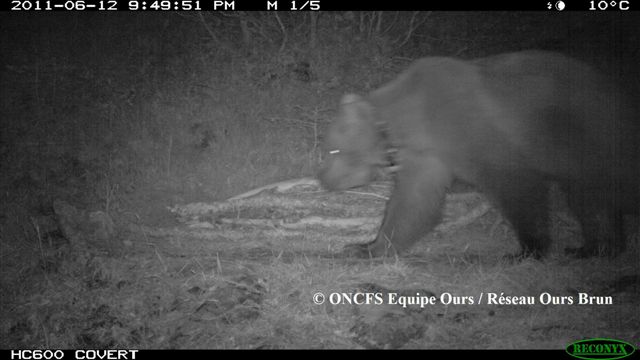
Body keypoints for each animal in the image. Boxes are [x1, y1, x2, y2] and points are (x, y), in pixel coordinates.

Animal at [320, 51, 640, 258]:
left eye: (333, 149)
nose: (323, 179)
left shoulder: (476, 133)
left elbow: (518, 188)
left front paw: (528, 248)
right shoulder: (427, 155)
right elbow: (414, 204)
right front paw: (366, 247)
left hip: (590, 134)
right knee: (591, 199)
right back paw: (593, 248)